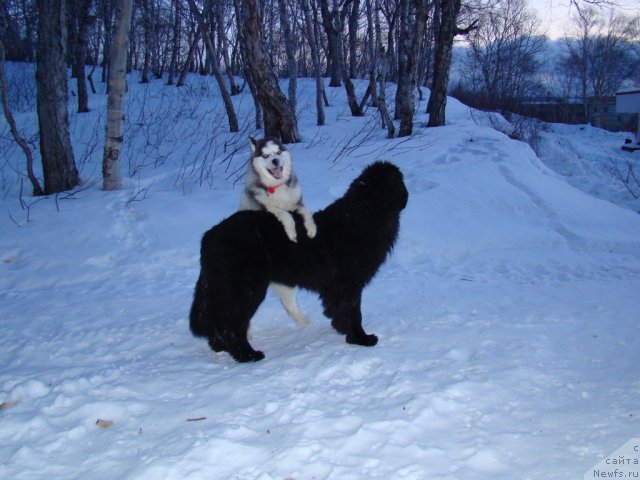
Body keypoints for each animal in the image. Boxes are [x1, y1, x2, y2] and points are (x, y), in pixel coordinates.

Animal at [188, 159, 408, 362]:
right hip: (246, 290)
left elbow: (339, 310)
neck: (364, 215)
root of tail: (209, 237)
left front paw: (341, 328)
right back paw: (247, 355)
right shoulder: (348, 283)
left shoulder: (336, 287)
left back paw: (219, 346)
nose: (406, 197)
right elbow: (353, 312)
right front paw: (360, 338)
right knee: (232, 324)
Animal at [240, 137, 316, 328]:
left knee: (288, 305)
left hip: (288, 282)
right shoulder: (267, 209)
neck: (277, 188)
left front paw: (311, 229)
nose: (275, 161)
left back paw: (305, 321)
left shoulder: (297, 203)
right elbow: (285, 215)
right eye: (266, 155)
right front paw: (292, 233)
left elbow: (307, 212)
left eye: (278, 152)